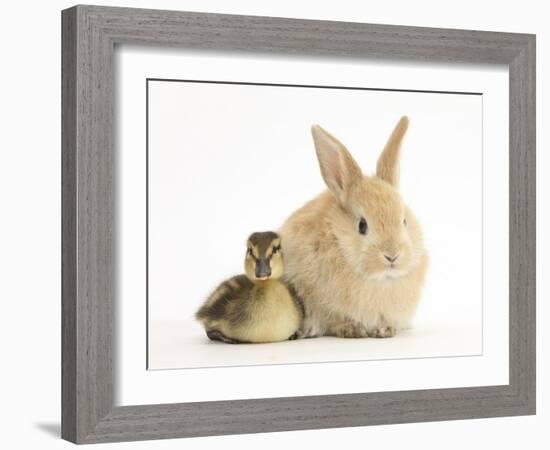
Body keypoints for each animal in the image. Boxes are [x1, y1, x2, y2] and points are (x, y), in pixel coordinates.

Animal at [280, 116, 432, 338]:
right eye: (362, 225)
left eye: (404, 220)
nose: (392, 256)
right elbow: (334, 320)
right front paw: (352, 328)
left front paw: (385, 330)